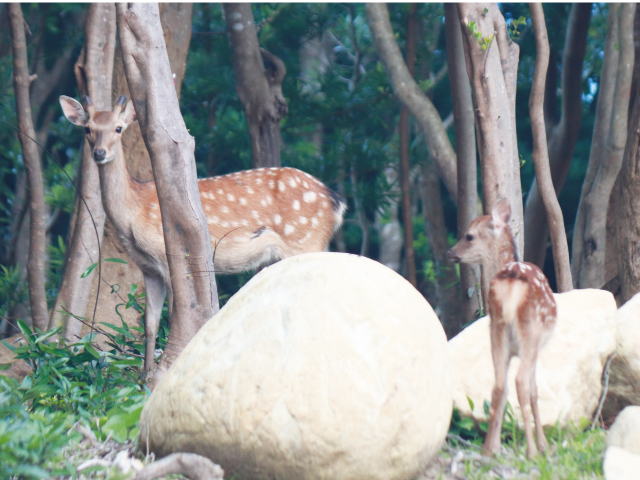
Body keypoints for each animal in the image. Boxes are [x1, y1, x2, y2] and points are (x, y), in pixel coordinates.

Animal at [61, 94, 344, 372]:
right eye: (88, 129)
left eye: (118, 128)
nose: (99, 153)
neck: (133, 213)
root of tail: (337, 202)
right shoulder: (148, 268)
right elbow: (150, 324)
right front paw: (145, 375)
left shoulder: (168, 256)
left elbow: (174, 316)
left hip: (305, 241)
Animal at [448, 200, 556, 462]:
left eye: (468, 235)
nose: (450, 252)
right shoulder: (538, 347)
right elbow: (535, 390)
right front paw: (543, 445)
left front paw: (495, 446)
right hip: (530, 329)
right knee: (520, 383)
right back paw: (531, 451)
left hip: (496, 328)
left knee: (499, 385)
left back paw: (488, 449)